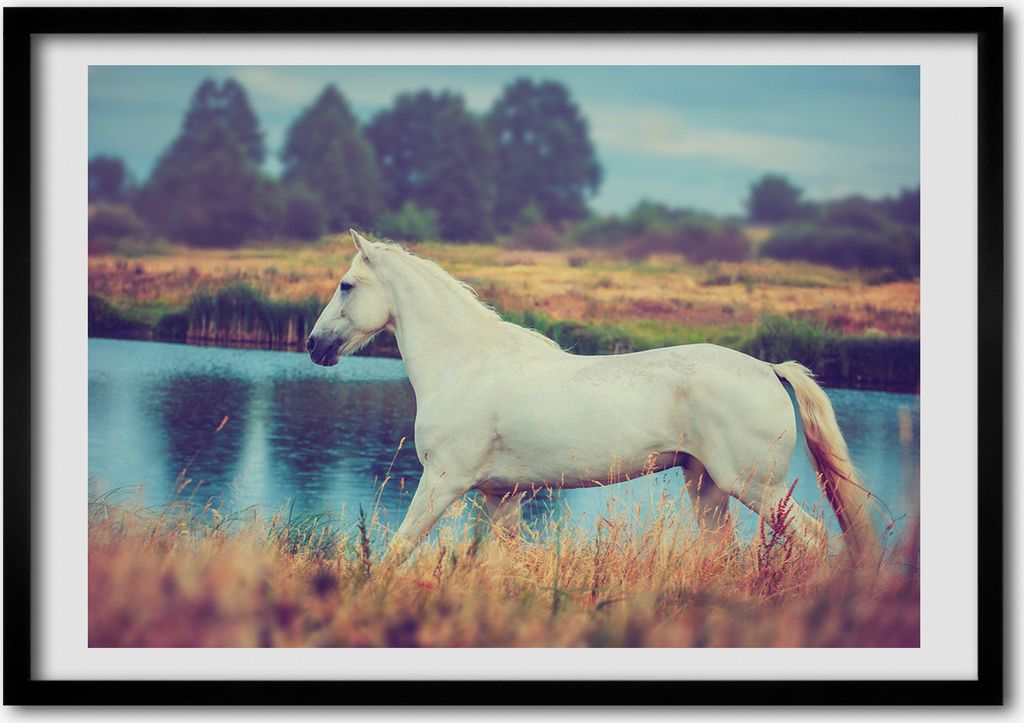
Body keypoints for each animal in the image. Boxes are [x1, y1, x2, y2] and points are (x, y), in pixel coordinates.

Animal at [307, 231, 876, 562]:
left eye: (346, 285)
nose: (314, 345)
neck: (466, 363)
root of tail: (769, 369)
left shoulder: (444, 481)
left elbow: (397, 552)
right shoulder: (499, 496)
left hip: (756, 486)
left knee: (813, 538)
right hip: (707, 487)